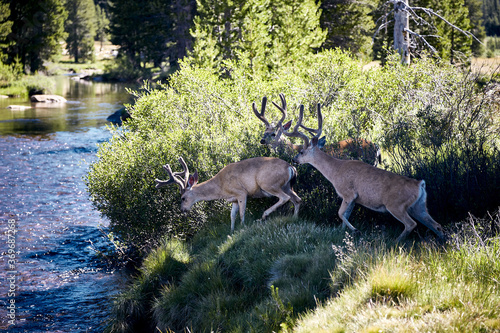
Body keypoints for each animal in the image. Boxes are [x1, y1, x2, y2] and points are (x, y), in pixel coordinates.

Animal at [154, 155, 300, 231]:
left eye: (183, 198)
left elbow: (241, 213)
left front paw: (242, 227)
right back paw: (294, 218)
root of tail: (291, 167)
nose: (182, 210)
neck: (221, 186)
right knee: (297, 199)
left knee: (285, 198)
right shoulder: (233, 199)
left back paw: (264, 216)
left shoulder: (241, 192)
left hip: (268, 183)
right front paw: (231, 231)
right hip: (287, 186)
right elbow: (232, 216)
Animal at [278, 101, 446, 241]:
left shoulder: (348, 193)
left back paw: (397, 241)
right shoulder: (354, 198)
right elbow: (344, 215)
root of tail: (420, 184)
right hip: (419, 206)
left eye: (301, 151)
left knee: (411, 224)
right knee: (436, 225)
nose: (294, 159)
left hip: (396, 205)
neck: (335, 171)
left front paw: (356, 230)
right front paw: (343, 233)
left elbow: (340, 213)